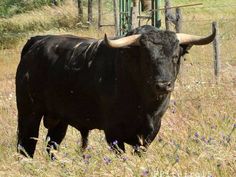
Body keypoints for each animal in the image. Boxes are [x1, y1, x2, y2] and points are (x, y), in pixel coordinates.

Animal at [15, 24, 216, 158]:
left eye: (175, 56)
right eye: (147, 57)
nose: (163, 85)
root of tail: (37, 41)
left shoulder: (150, 131)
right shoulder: (113, 131)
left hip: (59, 119)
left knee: (52, 145)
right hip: (28, 113)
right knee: (26, 145)